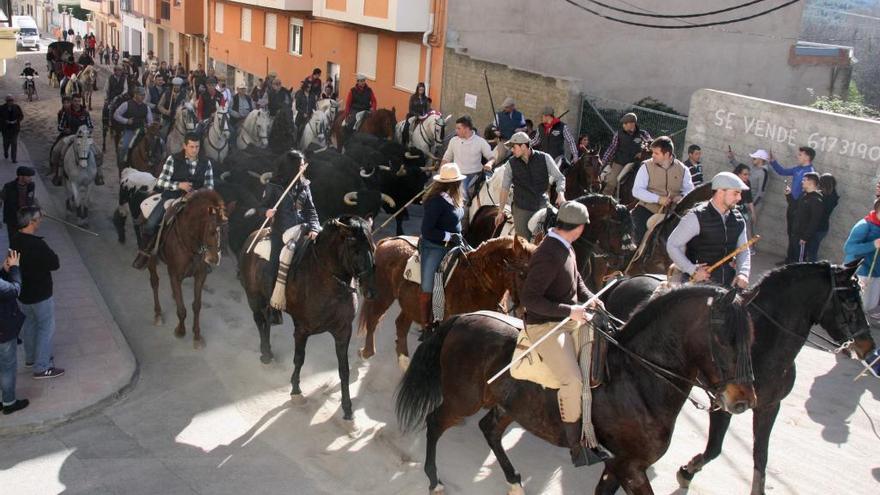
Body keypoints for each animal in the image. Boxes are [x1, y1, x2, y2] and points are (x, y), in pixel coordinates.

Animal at [144, 190, 227, 348]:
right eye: (212, 231)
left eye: (226, 230)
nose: (214, 258)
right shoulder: (175, 275)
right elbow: (182, 309)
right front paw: (181, 330)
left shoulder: (200, 275)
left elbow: (197, 306)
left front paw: (197, 335)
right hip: (151, 258)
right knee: (154, 282)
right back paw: (158, 314)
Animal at [237, 215, 378, 420]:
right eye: (354, 248)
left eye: (373, 247)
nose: (371, 291)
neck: (327, 281)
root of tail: (255, 234)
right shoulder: (302, 330)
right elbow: (299, 359)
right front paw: (296, 391)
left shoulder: (343, 331)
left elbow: (344, 370)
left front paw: (347, 409)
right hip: (254, 297)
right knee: (259, 321)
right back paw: (265, 354)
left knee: (267, 322)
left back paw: (269, 351)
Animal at [358, 234, 536, 370]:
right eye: (522, 274)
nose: (528, 313)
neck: (477, 281)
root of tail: (387, 241)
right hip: (383, 295)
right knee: (373, 319)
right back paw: (367, 352)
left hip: (409, 303)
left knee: (401, 324)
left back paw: (403, 361)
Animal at [398, 284, 756, 494]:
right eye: (724, 338)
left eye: (750, 338)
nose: (743, 401)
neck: (637, 379)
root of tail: (463, 318)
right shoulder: (629, 468)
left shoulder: (617, 466)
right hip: (464, 400)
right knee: (435, 422)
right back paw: (433, 480)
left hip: (510, 406)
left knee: (490, 429)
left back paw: (514, 481)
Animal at [600, 262, 876, 494]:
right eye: (851, 302)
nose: (869, 346)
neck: (767, 346)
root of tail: (627, 278)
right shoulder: (722, 404)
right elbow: (714, 448)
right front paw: (687, 471)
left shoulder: (769, 406)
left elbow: (761, 456)